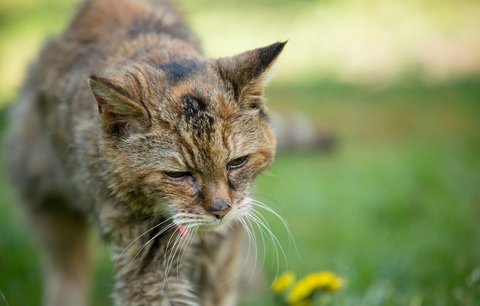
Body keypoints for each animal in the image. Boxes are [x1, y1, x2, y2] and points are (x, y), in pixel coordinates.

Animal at [5, 0, 284, 306]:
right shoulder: (146, 257)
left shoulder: (220, 251)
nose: (221, 210)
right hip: (48, 201)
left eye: (236, 162)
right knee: (67, 266)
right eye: (177, 175)